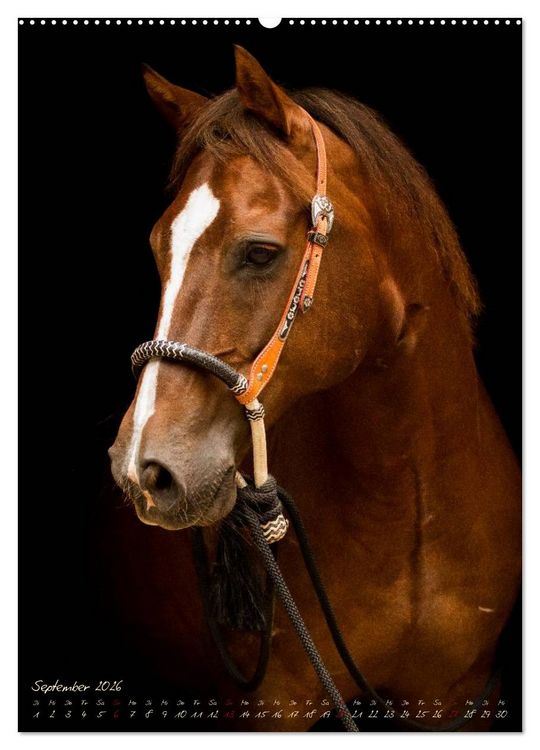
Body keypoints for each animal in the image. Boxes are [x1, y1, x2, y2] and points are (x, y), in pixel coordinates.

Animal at [108, 46, 521, 731]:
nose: (144, 469)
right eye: (158, 248)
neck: (408, 510)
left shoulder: (458, 697)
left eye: (259, 253)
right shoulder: (273, 704)